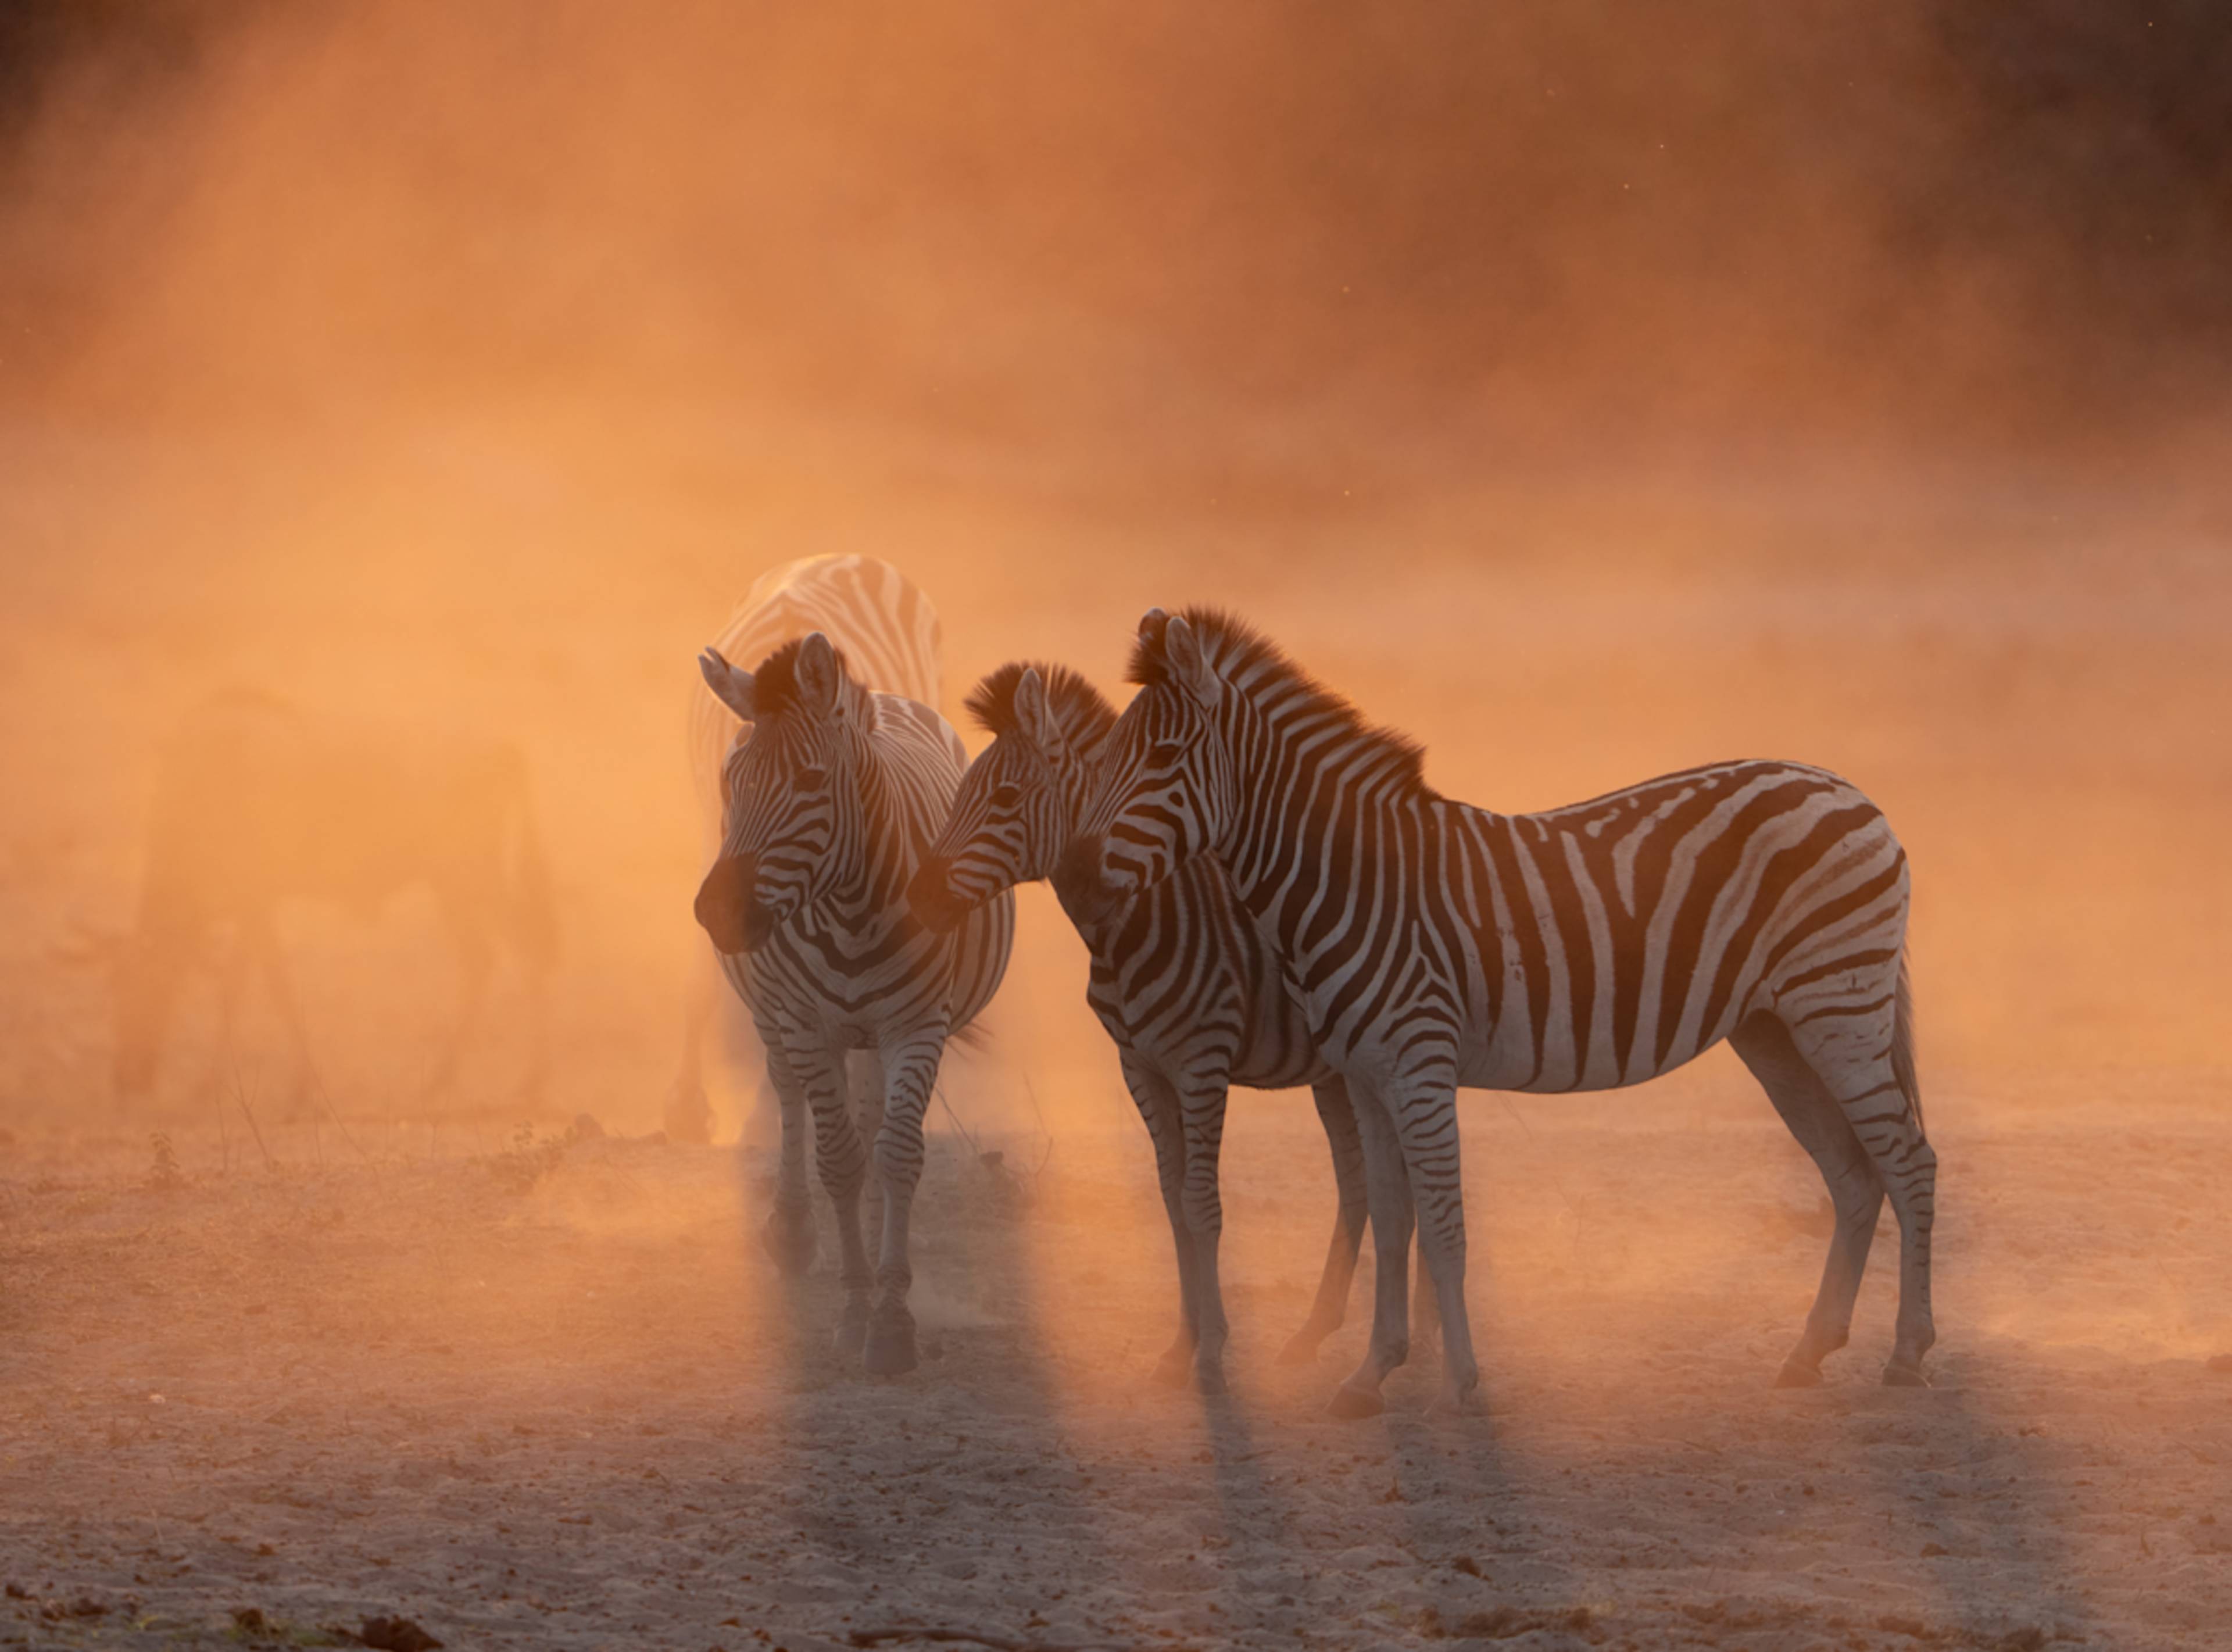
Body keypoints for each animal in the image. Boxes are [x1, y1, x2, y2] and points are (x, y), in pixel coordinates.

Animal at [695, 630, 1013, 1375]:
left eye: (812, 783)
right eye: (732, 780)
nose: (716, 912)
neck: (852, 908)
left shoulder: (916, 1025)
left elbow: (898, 1154)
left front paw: (892, 1317)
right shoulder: (807, 1026)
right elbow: (836, 1157)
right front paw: (854, 1302)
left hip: (873, 1031)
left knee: (874, 1125)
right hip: (777, 1014)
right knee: (788, 1095)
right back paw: (793, 1232)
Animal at [904, 661, 1372, 1393]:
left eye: (1006, 797)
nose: (918, 895)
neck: (1136, 920)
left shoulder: (1201, 1064)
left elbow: (1201, 1202)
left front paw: (1212, 1356)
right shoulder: (1142, 1067)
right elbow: (1171, 1201)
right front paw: (1182, 1345)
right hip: (1339, 1071)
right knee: (1362, 1181)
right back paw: (1318, 1332)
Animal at [1056, 608, 1934, 1416]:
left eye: (1164, 758)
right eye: (1108, 758)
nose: (1083, 879)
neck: (1348, 879)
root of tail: (1847, 788)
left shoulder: (1419, 1065)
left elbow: (1444, 1227)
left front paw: (1462, 1382)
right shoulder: (1367, 1076)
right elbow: (1392, 1219)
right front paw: (1373, 1372)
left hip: (1839, 1006)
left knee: (1907, 1160)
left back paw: (1908, 1353)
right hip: (1774, 1031)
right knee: (1853, 1174)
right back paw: (1810, 1350)